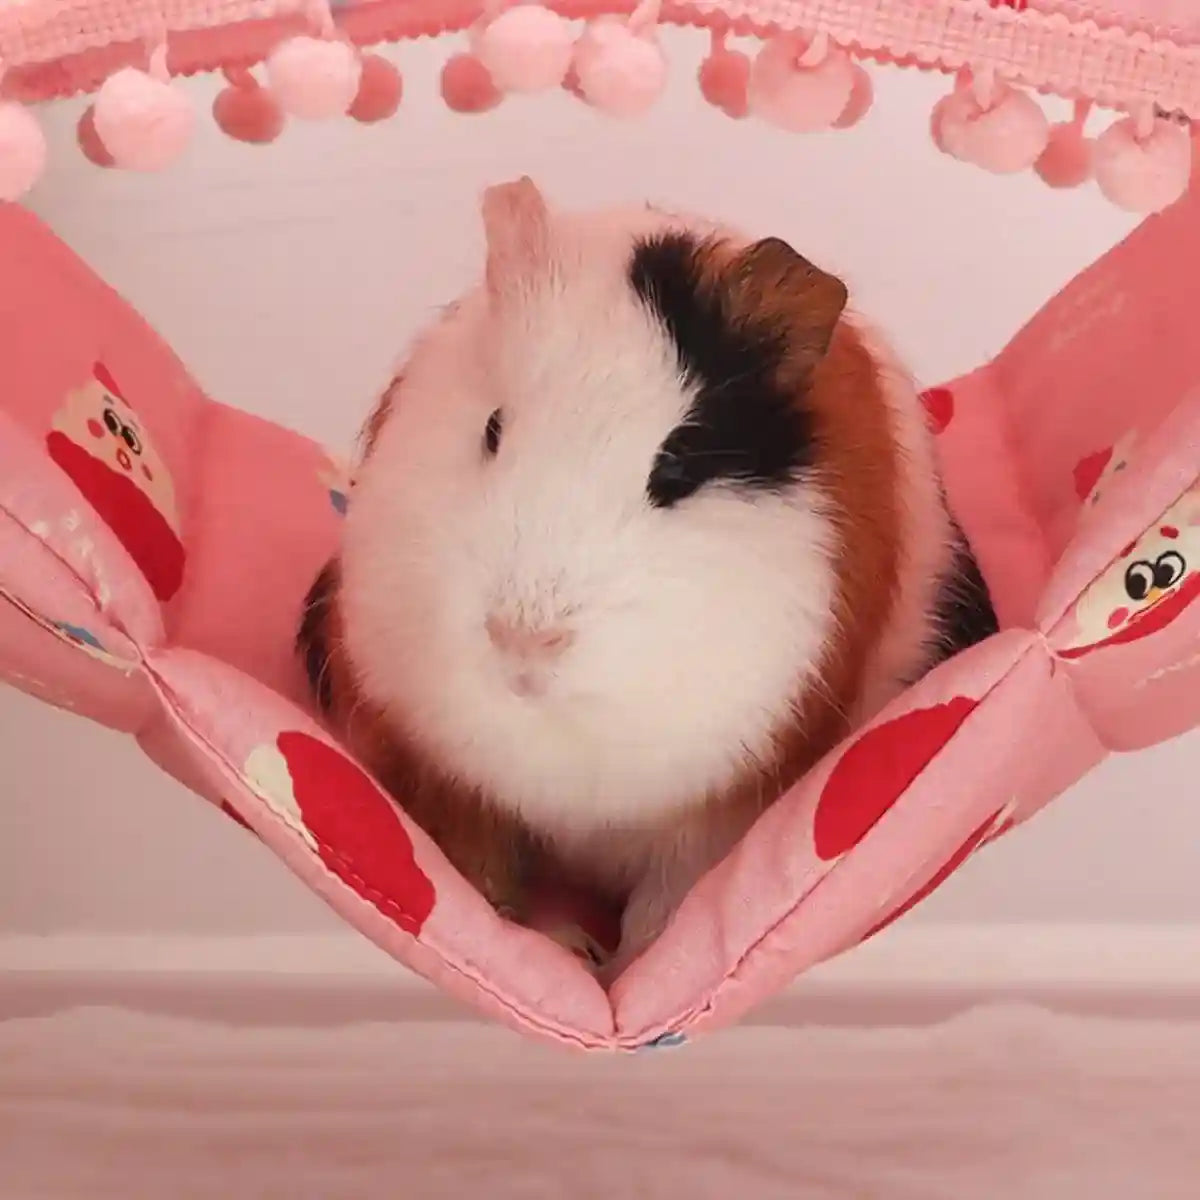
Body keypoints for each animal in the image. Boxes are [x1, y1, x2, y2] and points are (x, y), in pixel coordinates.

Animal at [297, 177, 997, 981]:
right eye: (494, 428)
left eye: (679, 465)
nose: (524, 640)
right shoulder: (453, 782)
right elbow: (487, 883)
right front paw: (562, 949)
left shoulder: (712, 816)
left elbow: (665, 914)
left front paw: (621, 972)